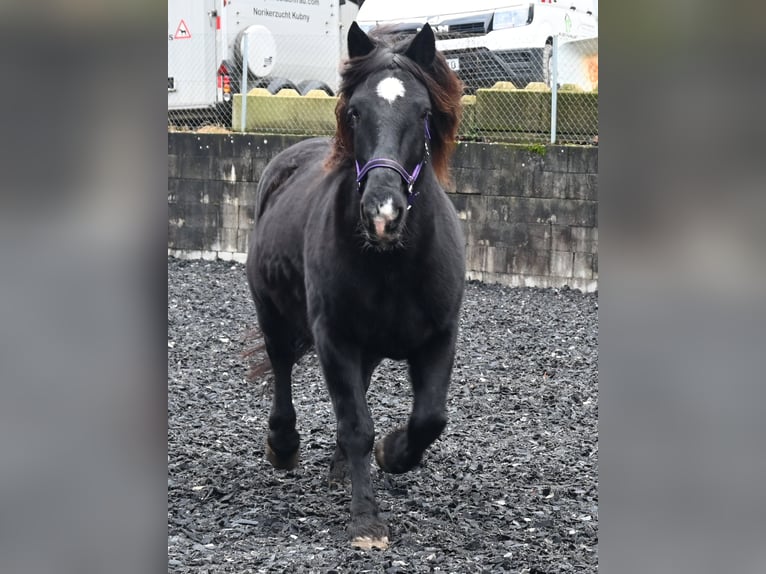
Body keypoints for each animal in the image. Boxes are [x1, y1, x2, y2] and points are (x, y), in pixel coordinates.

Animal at [245, 22, 465, 549]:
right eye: (354, 111)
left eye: (424, 113)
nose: (382, 214)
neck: (393, 263)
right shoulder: (334, 336)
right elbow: (356, 424)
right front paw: (366, 519)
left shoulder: (439, 336)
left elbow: (430, 418)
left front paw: (393, 453)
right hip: (272, 312)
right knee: (281, 365)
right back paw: (283, 445)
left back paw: (342, 467)